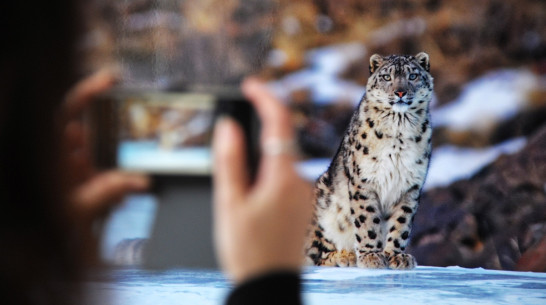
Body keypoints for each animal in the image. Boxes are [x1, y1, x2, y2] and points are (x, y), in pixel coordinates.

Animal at [304, 52, 432, 268]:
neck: (399, 129)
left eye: (413, 76)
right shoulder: (364, 181)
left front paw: (396, 256)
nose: (400, 92)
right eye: (386, 77)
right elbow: (367, 220)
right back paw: (343, 256)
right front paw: (371, 256)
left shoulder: (410, 186)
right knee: (312, 255)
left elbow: (401, 223)